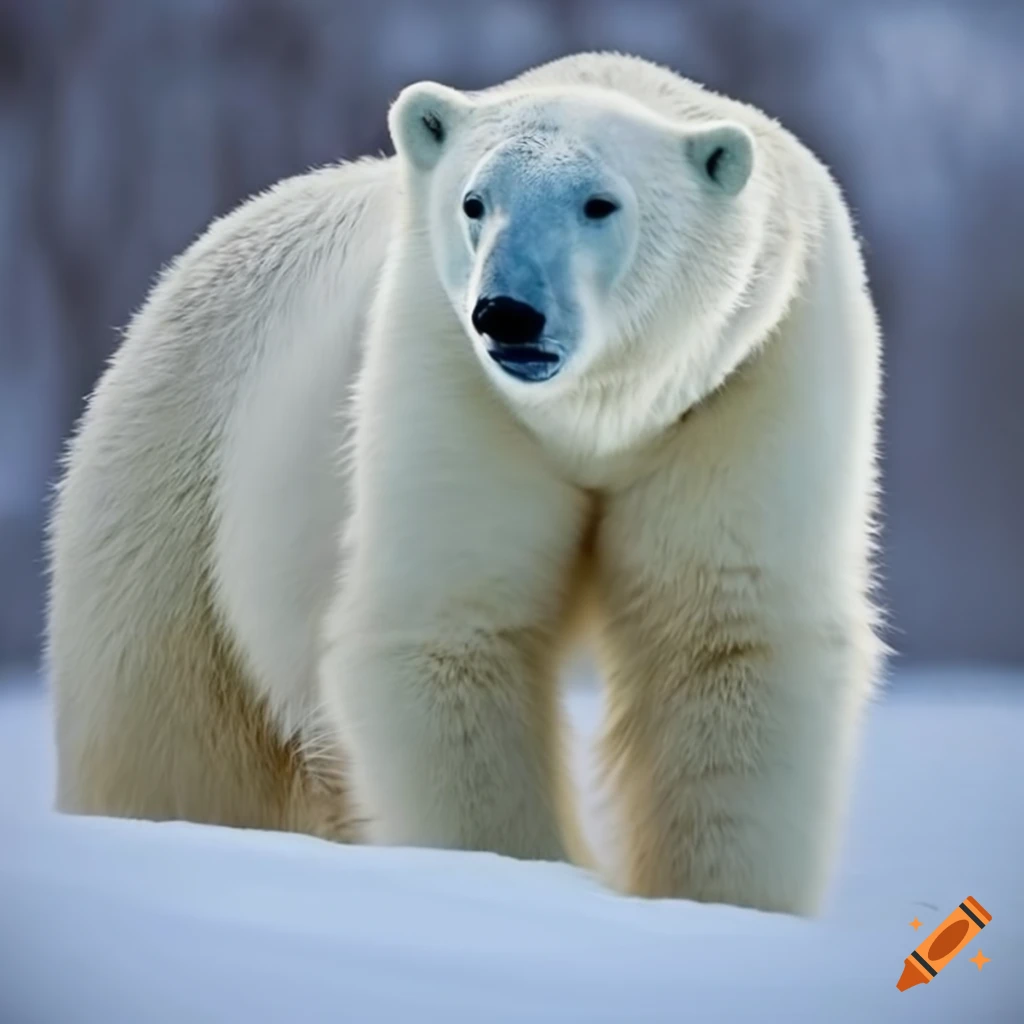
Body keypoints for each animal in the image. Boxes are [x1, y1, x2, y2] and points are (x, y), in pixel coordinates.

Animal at [47, 52, 883, 916]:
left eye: (599, 203)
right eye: (474, 202)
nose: (507, 314)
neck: (601, 417)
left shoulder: (751, 372)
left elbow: (727, 633)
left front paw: (719, 907)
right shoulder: (445, 363)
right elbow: (448, 625)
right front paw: (510, 874)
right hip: (177, 482)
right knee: (168, 738)